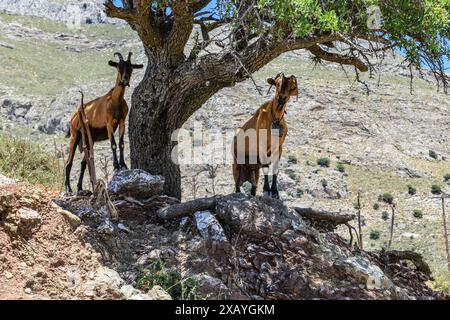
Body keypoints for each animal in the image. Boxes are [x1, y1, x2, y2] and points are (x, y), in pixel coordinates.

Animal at [64, 52, 142, 192]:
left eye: (131, 68)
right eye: (118, 67)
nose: (124, 81)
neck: (115, 101)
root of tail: (74, 116)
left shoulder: (122, 122)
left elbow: (121, 144)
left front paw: (123, 165)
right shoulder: (109, 123)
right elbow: (113, 144)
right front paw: (116, 166)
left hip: (89, 139)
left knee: (84, 163)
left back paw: (79, 187)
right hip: (75, 135)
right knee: (69, 162)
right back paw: (68, 188)